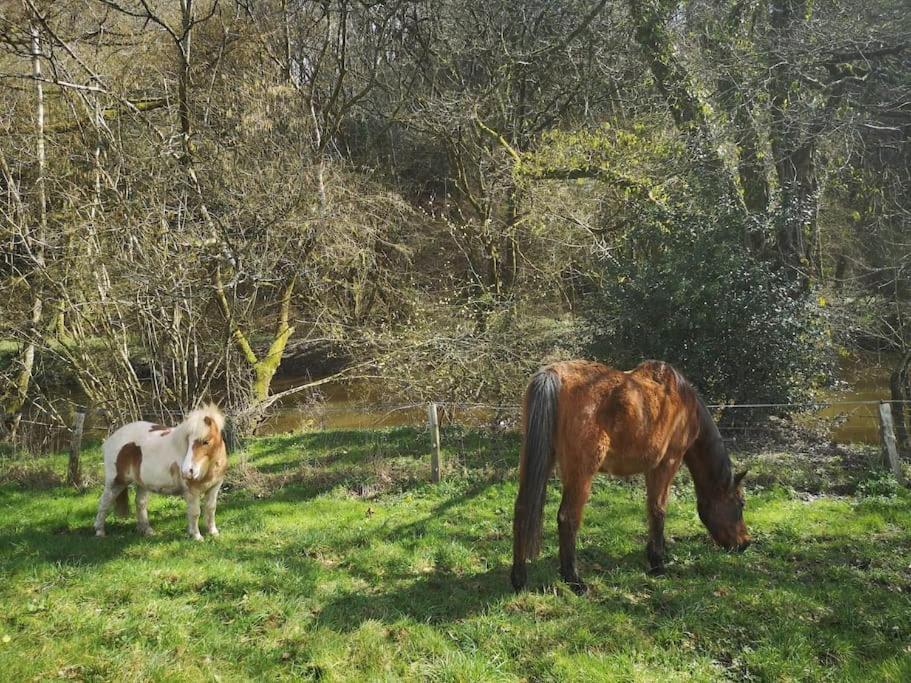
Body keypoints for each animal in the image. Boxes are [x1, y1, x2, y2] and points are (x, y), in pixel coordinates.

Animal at [95, 404, 230, 544]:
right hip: (115, 482)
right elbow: (195, 512)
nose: (187, 471)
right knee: (104, 502)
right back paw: (100, 531)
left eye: (206, 442)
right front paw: (197, 536)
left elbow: (211, 508)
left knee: (140, 503)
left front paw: (213, 532)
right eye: (188, 440)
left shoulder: (214, 487)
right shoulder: (192, 491)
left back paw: (147, 530)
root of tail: (111, 440)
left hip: (142, 483)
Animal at [512, 358, 748, 592]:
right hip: (581, 472)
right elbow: (658, 510)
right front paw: (658, 563)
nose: (745, 543)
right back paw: (574, 580)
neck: (683, 401)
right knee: (568, 517)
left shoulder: (651, 468)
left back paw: (520, 578)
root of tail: (553, 373)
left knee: (523, 509)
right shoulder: (667, 463)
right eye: (741, 504)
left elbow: (652, 509)